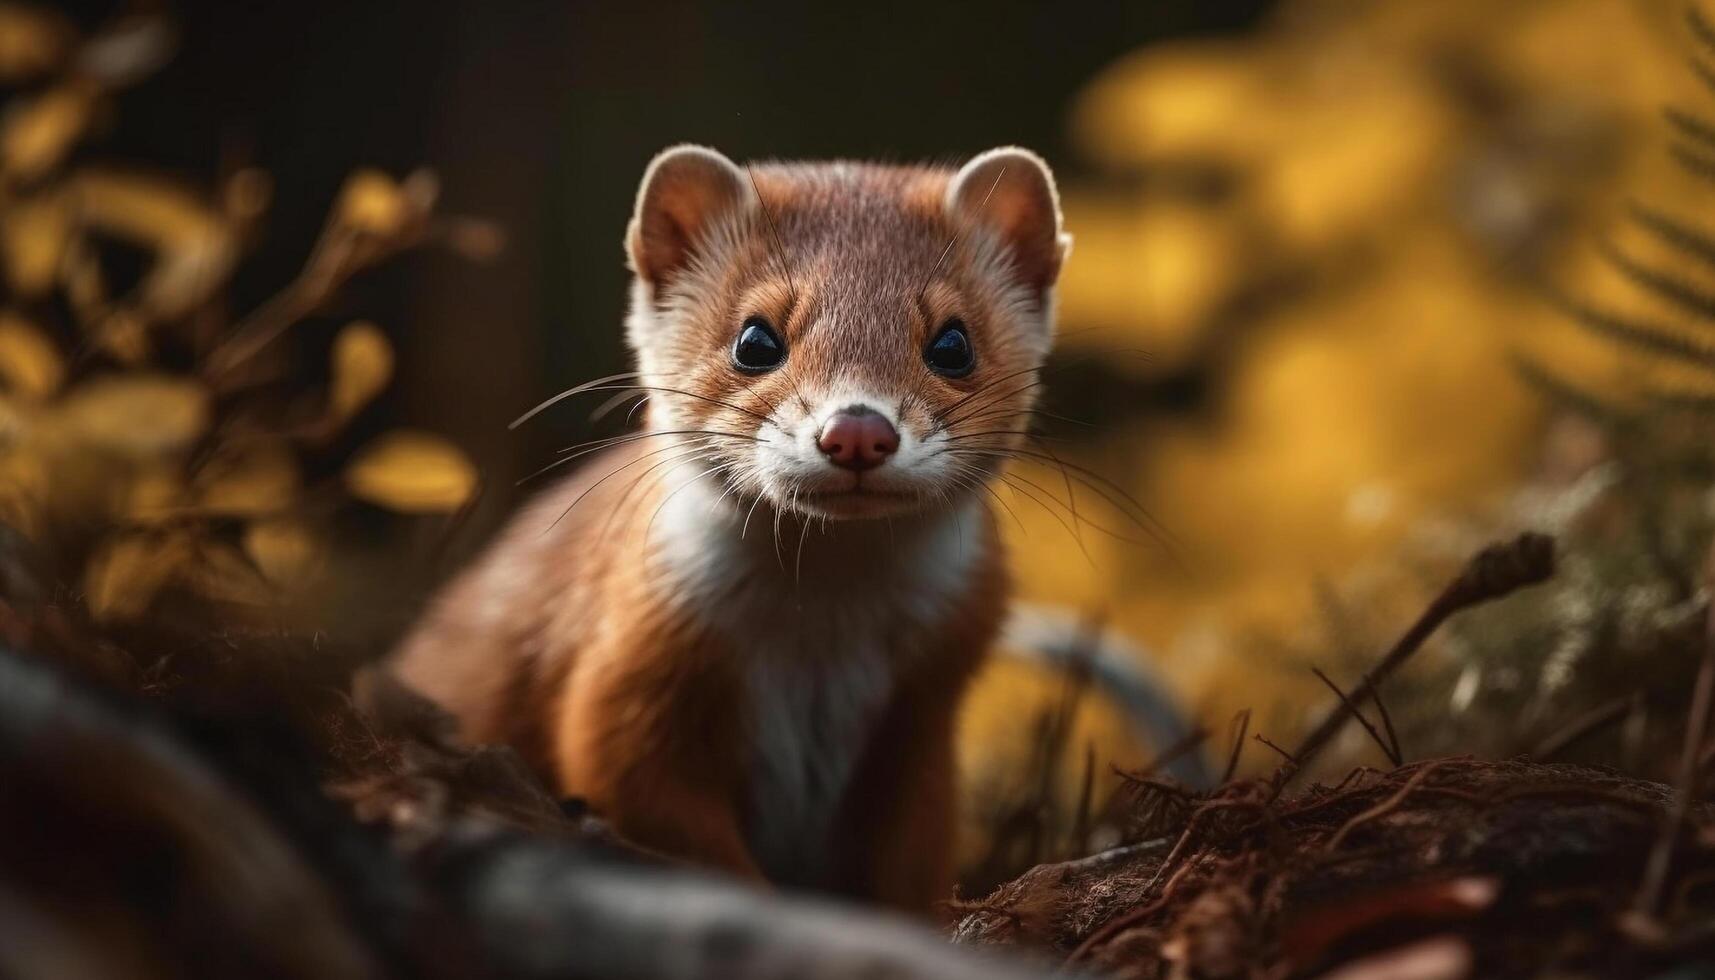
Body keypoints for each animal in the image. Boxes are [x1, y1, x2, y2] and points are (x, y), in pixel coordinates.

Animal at [385, 144, 1070, 913]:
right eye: (755, 338)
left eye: (953, 342)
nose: (857, 430)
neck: (818, 636)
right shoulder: (625, 681)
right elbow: (660, 812)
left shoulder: (922, 718)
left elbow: (909, 860)